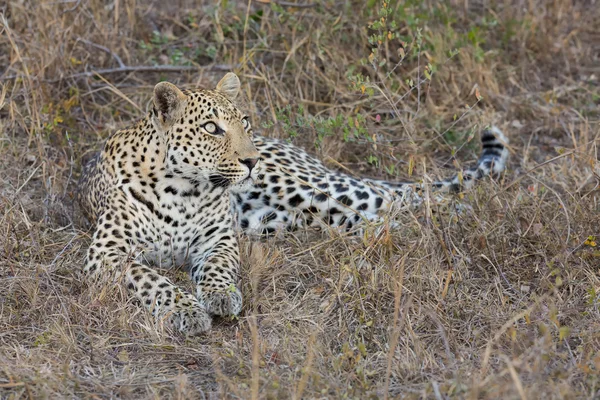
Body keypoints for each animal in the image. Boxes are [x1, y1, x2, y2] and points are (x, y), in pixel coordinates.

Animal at [77, 71, 508, 334]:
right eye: (211, 128)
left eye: (244, 122)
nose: (251, 160)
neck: (183, 189)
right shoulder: (108, 254)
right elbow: (153, 280)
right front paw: (186, 310)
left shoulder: (219, 240)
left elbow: (217, 267)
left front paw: (220, 295)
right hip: (295, 218)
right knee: (377, 217)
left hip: (309, 189)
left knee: (391, 201)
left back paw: (456, 225)